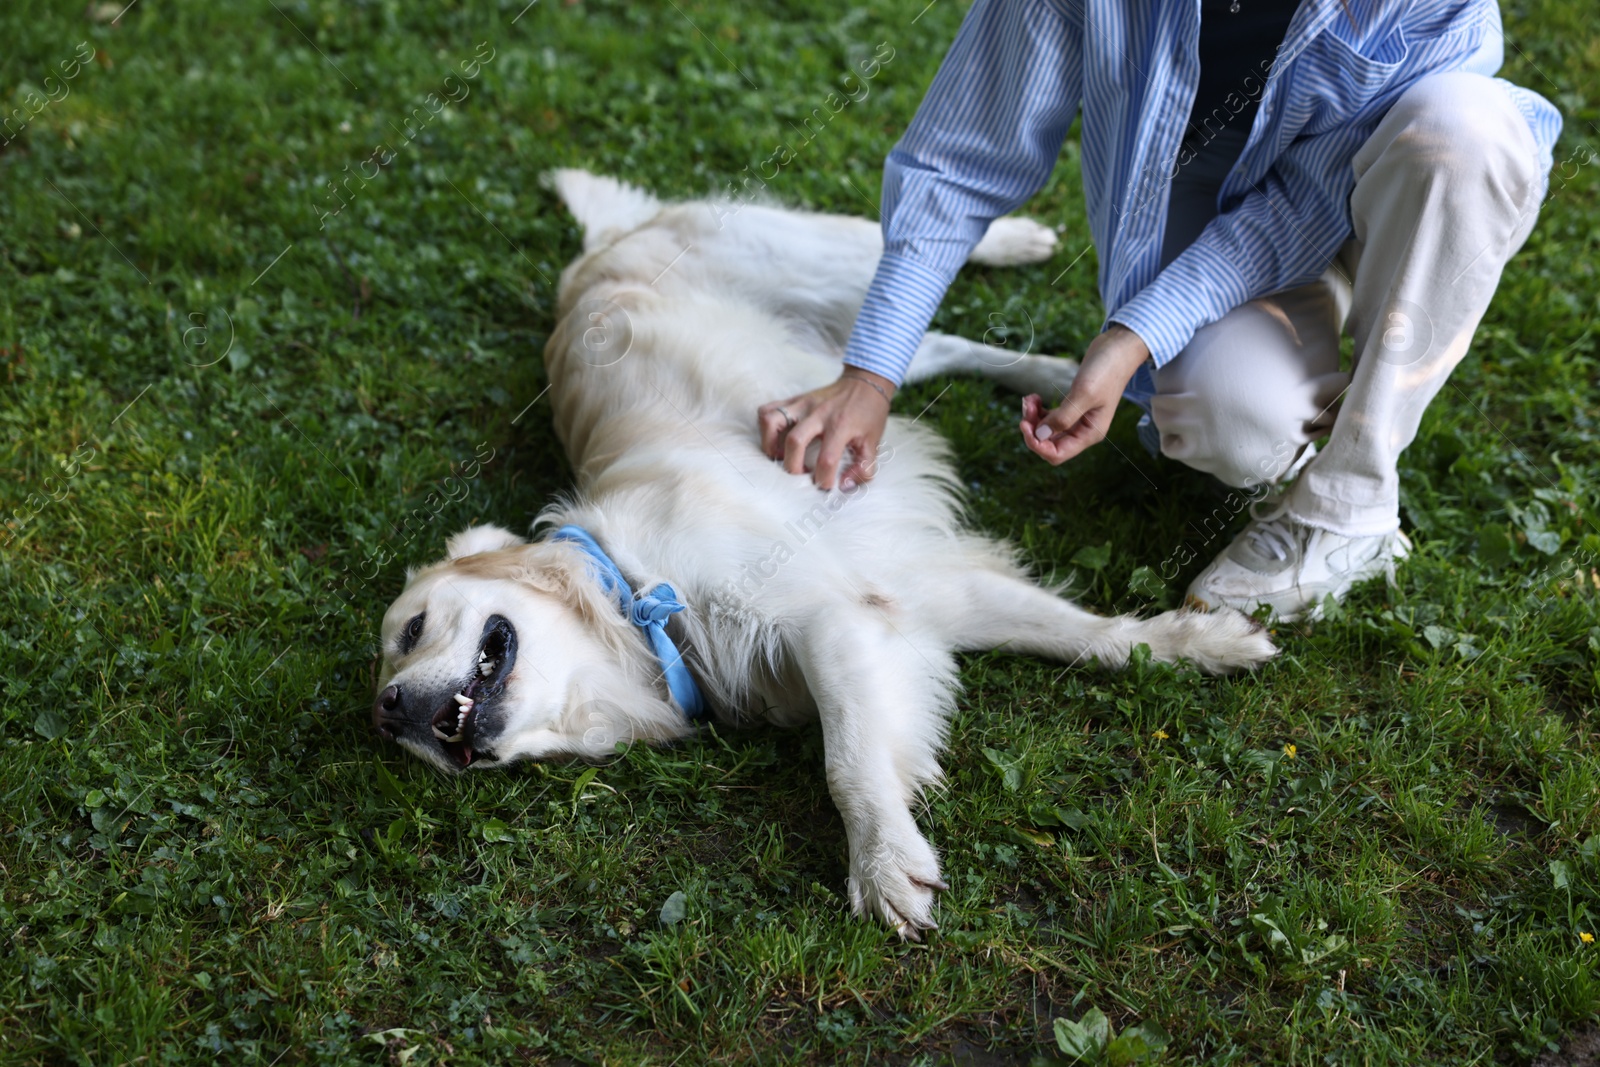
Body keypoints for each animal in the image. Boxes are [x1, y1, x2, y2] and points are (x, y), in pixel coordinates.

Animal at [371, 171, 1273, 940]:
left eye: (411, 629)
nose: (388, 712)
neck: (637, 596)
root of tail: (605, 245)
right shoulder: (911, 594)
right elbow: (1086, 635)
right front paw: (1198, 644)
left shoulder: (826, 614)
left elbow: (848, 762)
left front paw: (883, 863)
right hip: (848, 343)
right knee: (929, 342)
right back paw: (1060, 376)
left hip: (823, 259)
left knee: (917, 237)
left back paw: (1023, 245)